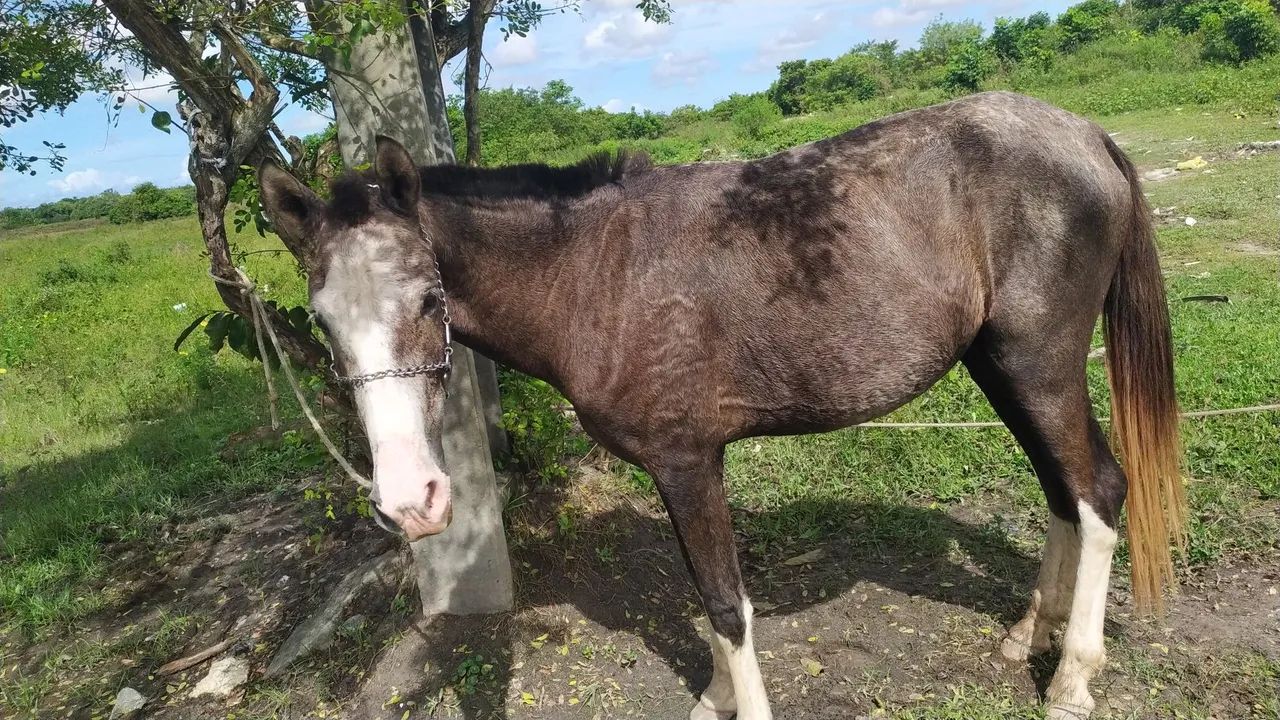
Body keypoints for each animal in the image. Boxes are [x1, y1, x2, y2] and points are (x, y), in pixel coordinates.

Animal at [257, 91, 1185, 720]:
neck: (597, 274)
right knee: (1061, 492)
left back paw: (1072, 679)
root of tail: (1083, 133)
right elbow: (705, 596)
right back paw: (1029, 635)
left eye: (426, 298)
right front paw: (713, 695)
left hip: (1039, 363)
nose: (412, 501)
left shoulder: (687, 462)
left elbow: (725, 605)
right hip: (999, 366)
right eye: (321, 319)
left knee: (1098, 493)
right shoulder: (681, 470)